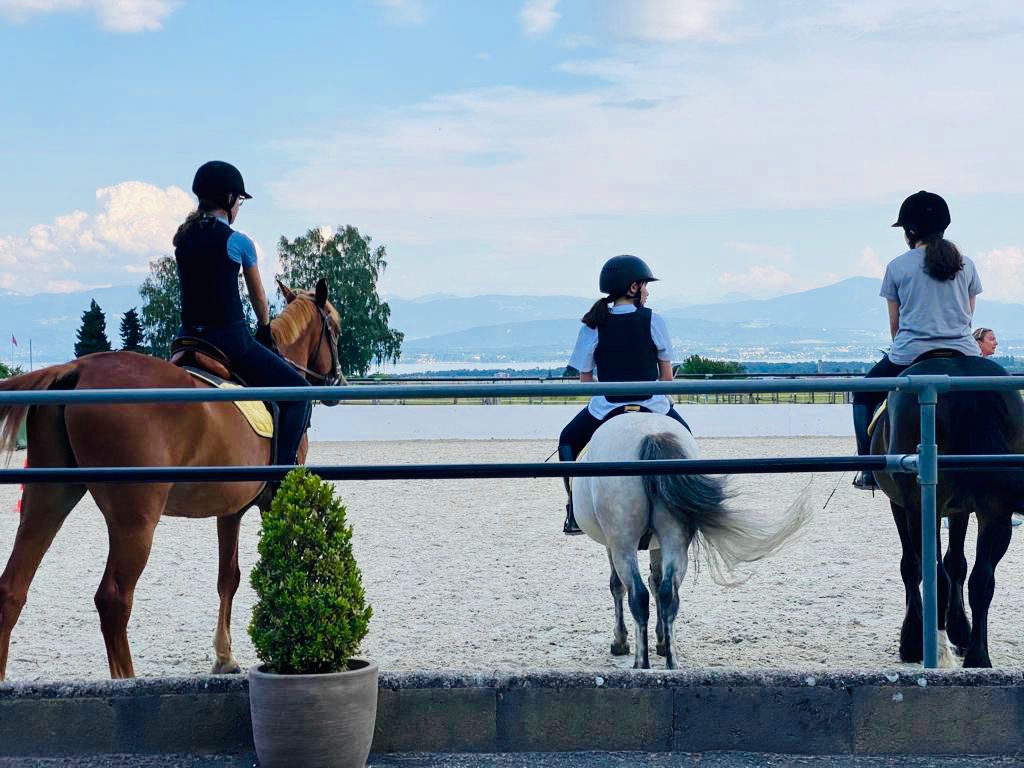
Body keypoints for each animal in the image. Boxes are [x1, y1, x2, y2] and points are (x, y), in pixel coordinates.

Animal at [0, 280, 344, 684]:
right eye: (335, 328)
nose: (338, 379)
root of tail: (79, 368)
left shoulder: (230, 509)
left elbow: (228, 577)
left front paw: (224, 656)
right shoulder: (273, 500)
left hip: (49, 497)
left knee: (12, 587)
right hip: (134, 518)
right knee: (113, 599)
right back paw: (127, 682)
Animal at [573, 411, 811, 671]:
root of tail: (651, 434)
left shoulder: (611, 544)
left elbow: (617, 586)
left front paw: (620, 641)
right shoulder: (657, 544)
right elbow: (657, 582)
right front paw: (661, 641)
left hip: (622, 542)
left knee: (638, 594)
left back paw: (641, 664)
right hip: (673, 538)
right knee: (668, 593)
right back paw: (672, 663)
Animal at [872, 354, 1024, 667]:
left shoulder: (904, 505)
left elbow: (914, 566)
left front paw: (912, 640)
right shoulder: (963, 509)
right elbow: (958, 564)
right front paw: (960, 630)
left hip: (921, 507)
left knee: (934, 574)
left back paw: (935, 645)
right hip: (995, 512)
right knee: (981, 580)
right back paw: (977, 657)